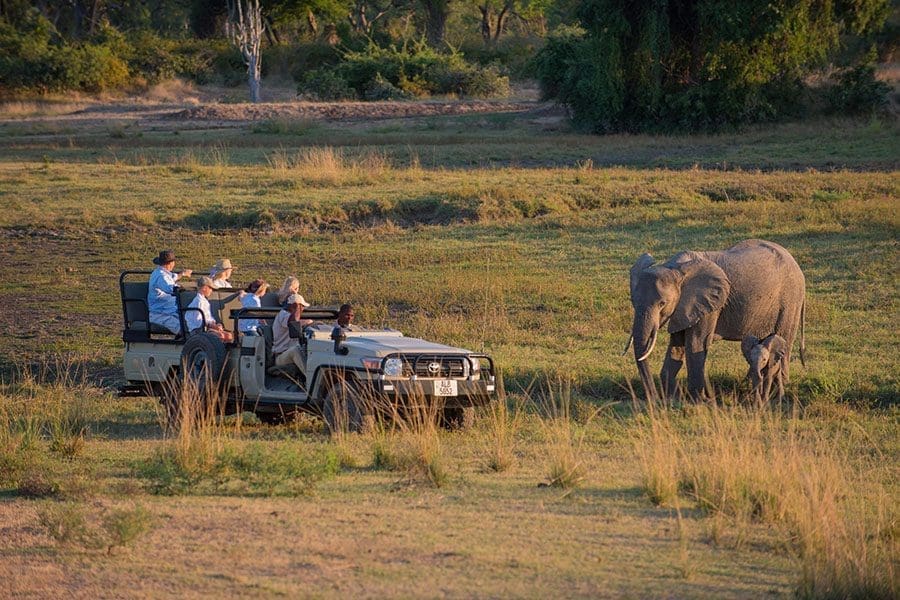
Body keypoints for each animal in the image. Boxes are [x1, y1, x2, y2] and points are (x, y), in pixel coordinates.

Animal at [624, 237, 808, 400]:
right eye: (633, 301)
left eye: (662, 303)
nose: (653, 398)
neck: (675, 268)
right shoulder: (683, 308)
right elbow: (677, 345)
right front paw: (671, 398)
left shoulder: (709, 305)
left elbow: (695, 343)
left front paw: (698, 400)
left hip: (790, 300)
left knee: (783, 338)